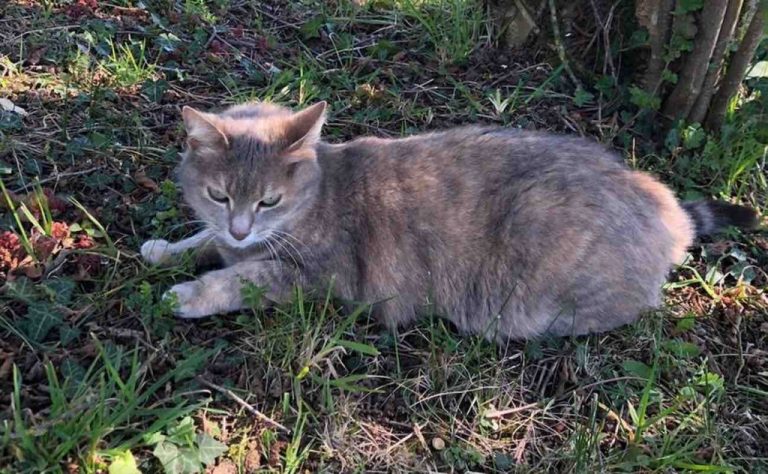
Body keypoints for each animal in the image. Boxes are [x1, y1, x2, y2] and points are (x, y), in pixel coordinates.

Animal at [141, 102, 760, 342]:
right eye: (219, 195)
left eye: (268, 201)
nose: (242, 228)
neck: (319, 194)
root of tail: (662, 204)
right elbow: (201, 241)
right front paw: (166, 249)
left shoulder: (313, 277)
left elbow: (240, 279)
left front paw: (189, 294)